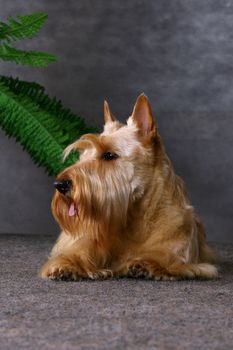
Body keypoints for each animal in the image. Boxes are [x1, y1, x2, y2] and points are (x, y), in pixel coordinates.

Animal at [39, 94, 217, 280]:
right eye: (83, 156)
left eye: (109, 155)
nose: (60, 185)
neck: (134, 218)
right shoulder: (86, 242)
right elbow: (78, 252)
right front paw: (66, 265)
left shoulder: (182, 255)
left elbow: (163, 257)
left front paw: (145, 264)